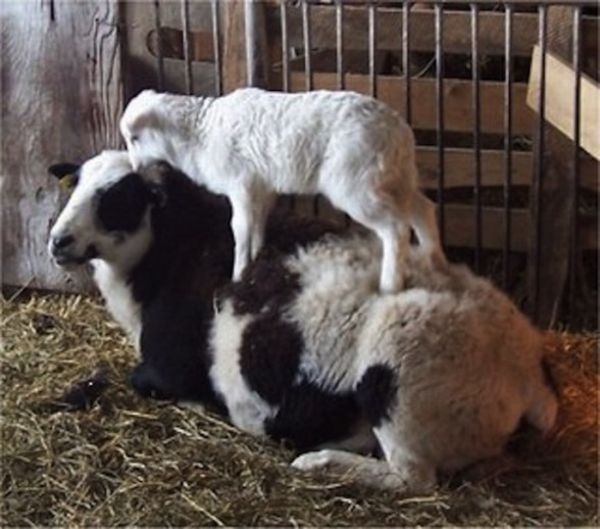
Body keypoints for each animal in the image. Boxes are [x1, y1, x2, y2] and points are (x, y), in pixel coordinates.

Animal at [47, 150, 556, 496]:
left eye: (119, 198)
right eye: (74, 186)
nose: (57, 240)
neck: (171, 254)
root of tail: (526, 367)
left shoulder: (165, 367)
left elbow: (150, 382)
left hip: (399, 379)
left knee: (414, 478)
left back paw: (321, 461)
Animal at [118, 87, 446, 292]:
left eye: (134, 138)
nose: (136, 169)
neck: (199, 134)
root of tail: (398, 131)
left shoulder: (240, 183)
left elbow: (239, 227)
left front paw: (238, 273)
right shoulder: (261, 186)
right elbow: (258, 222)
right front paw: (258, 256)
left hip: (355, 184)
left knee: (396, 228)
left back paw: (390, 285)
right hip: (395, 178)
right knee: (423, 209)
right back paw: (434, 260)